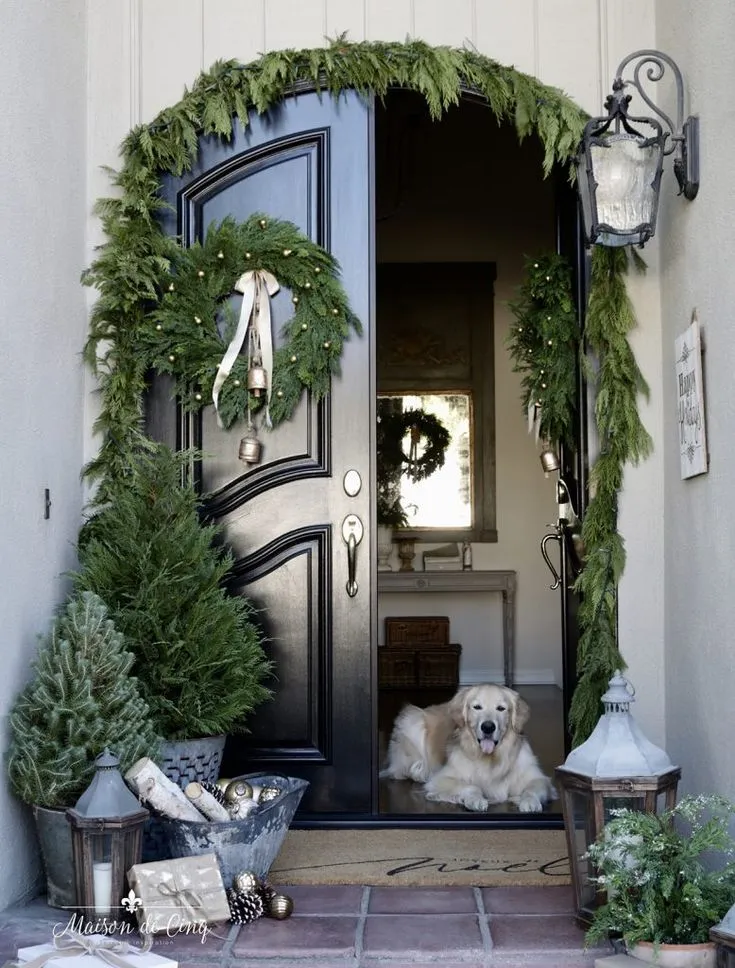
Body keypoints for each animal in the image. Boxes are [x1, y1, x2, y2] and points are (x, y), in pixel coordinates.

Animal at [382, 684, 556, 812]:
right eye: (477, 707)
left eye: (501, 708)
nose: (488, 727)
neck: (491, 759)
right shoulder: (441, 779)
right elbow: (471, 786)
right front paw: (475, 800)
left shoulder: (538, 778)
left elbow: (533, 787)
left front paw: (530, 802)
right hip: (412, 720)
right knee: (403, 769)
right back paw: (419, 772)